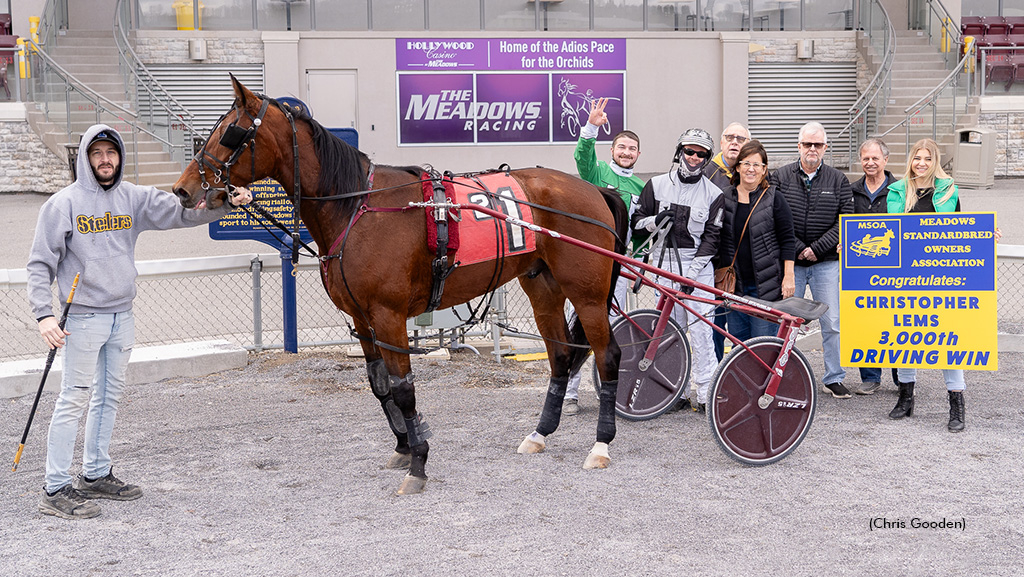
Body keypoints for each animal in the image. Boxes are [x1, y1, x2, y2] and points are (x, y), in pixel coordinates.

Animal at [172, 74, 626, 493]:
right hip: (543, 288)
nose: (182, 189)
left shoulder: (389, 317)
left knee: (608, 356)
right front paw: (405, 445)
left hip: (587, 294)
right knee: (561, 357)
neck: (358, 206)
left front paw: (419, 462)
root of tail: (595, 189)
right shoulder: (362, 319)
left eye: (230, 133)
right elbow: (380, 385)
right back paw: (540, 433)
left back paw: (601, 444)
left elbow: (403, 388)